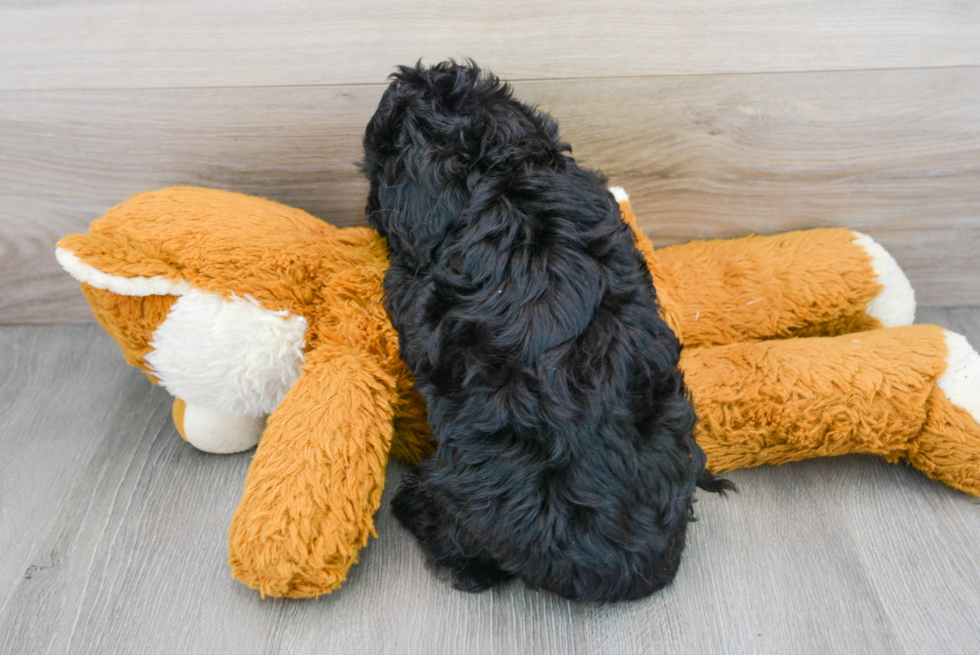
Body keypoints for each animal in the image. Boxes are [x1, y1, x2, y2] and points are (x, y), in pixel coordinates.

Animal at [360, 61, 728, 604]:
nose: (369, 209)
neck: (503, 173)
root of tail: (629, 574)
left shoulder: (417, 293)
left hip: (467, 492)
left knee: (467, 557)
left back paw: (415, 505)